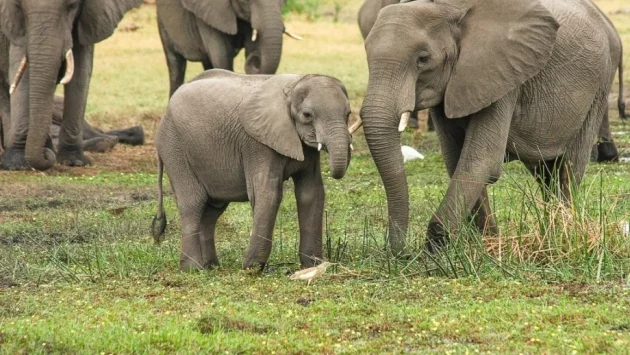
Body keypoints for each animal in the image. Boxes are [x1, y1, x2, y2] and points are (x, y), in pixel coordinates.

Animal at [0, 0, 143, 172]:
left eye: (72, 4)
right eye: (18, 5)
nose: (46, 156)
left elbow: (81, 70)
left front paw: (74, 161)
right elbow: (19, 67)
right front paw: (16, 165)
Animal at [151, 69, 354, 272]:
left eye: (348, 113)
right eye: (307, 115)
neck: (294, 85)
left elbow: (311, 193)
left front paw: (313, 265)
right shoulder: (257, 144)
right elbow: (268, 193)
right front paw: (252, 268)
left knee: (212, 210)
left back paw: (211, 267)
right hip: (174, 148)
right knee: (193, 203)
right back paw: (193, 268)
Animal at [360, 0, 628, 253]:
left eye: (423, 59)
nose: (401, 253)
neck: (447, 9)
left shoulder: (502, 75)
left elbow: (481, 160)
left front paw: (436, 249)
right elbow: (456, 159)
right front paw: (486, 241)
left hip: (599, 85)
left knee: (569, 166)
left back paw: (562, 231)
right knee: (544, 170)